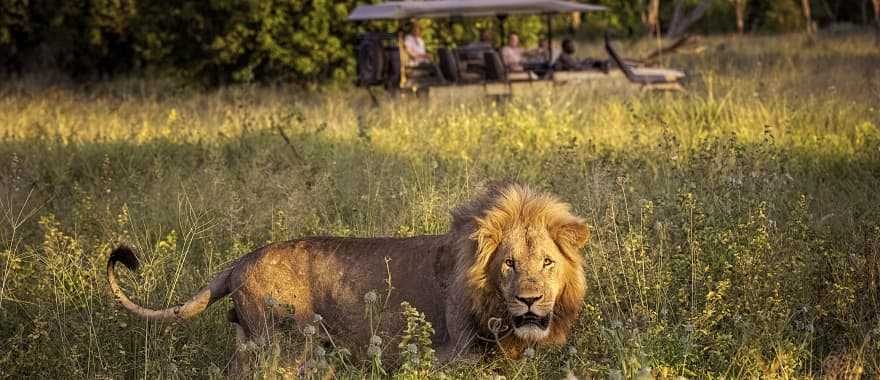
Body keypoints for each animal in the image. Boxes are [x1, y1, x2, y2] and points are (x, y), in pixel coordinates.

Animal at [106, 183, 588, 362]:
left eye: (547, 263)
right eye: (509, 263)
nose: (529, 299)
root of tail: (241, 260)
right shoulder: (456, 356)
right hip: (284, 346)